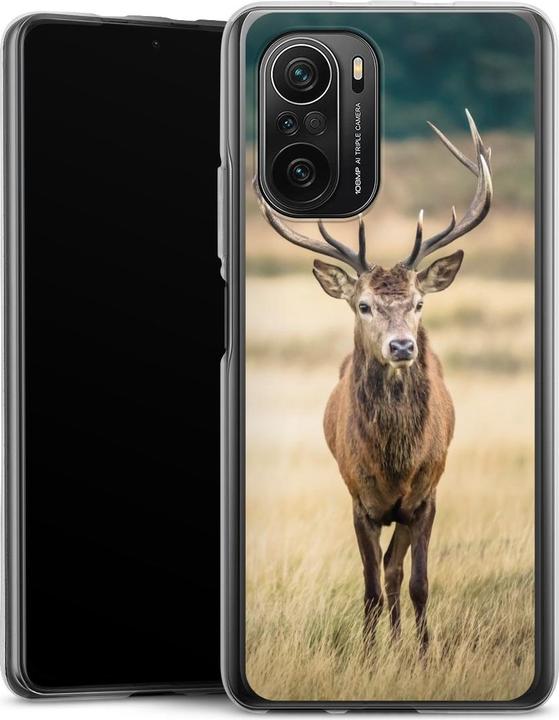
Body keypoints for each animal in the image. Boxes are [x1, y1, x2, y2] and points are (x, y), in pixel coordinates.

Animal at [254, 110, 493, 652]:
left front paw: (423, 655)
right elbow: (368, 588)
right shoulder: (358, 500)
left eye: (419, 303)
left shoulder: (425, 496)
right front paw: (366, 655)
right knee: (383, 574)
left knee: (395, 571)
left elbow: (417, 582)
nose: (402, 346)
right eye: (363, 305)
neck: (394, 464)